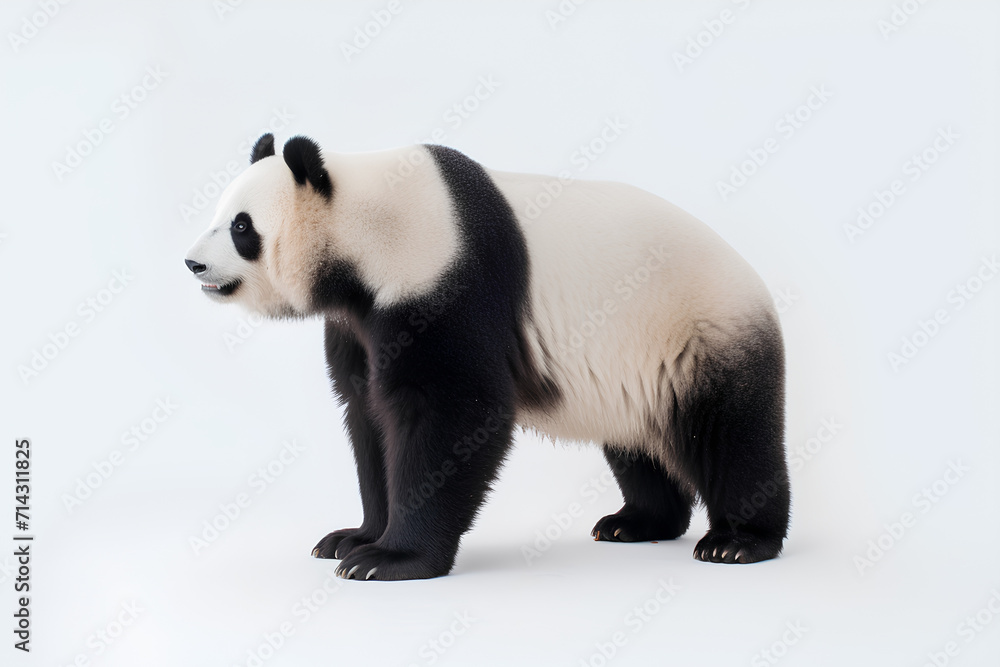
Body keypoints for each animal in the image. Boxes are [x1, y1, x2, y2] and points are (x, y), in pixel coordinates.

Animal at [184, 133, 790, 581]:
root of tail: (755, 280)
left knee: (731, 435)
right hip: (636, 362)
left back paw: (738, 542)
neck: (364, 225)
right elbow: (369, 415)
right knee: (637, 442)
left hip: (695, 328)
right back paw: (636, 522)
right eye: (219, 214)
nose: (192, 263)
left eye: (241, 226)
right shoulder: (359, 321)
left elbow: (454, 412)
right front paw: (352, 538)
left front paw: (391, 558)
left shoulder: (443, 277)